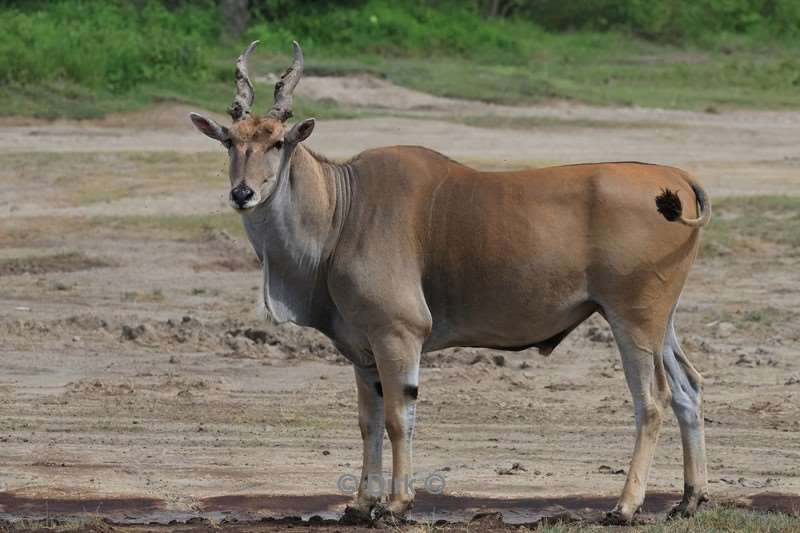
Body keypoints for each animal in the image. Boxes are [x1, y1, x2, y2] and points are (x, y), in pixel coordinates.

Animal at [189, 41, 712, 524]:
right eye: (230, 141)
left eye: (278, 142)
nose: (242, 193)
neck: (343, 209)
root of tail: (677, 177)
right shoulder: (363, 348)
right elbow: (368, 420)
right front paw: (360, 504)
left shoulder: (398, 335)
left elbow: (398, 418)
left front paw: (396, 504)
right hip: (660, 323)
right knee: (689, 387)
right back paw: (690, 499)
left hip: (632, 319)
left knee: (653, 401)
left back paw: (625, 506)